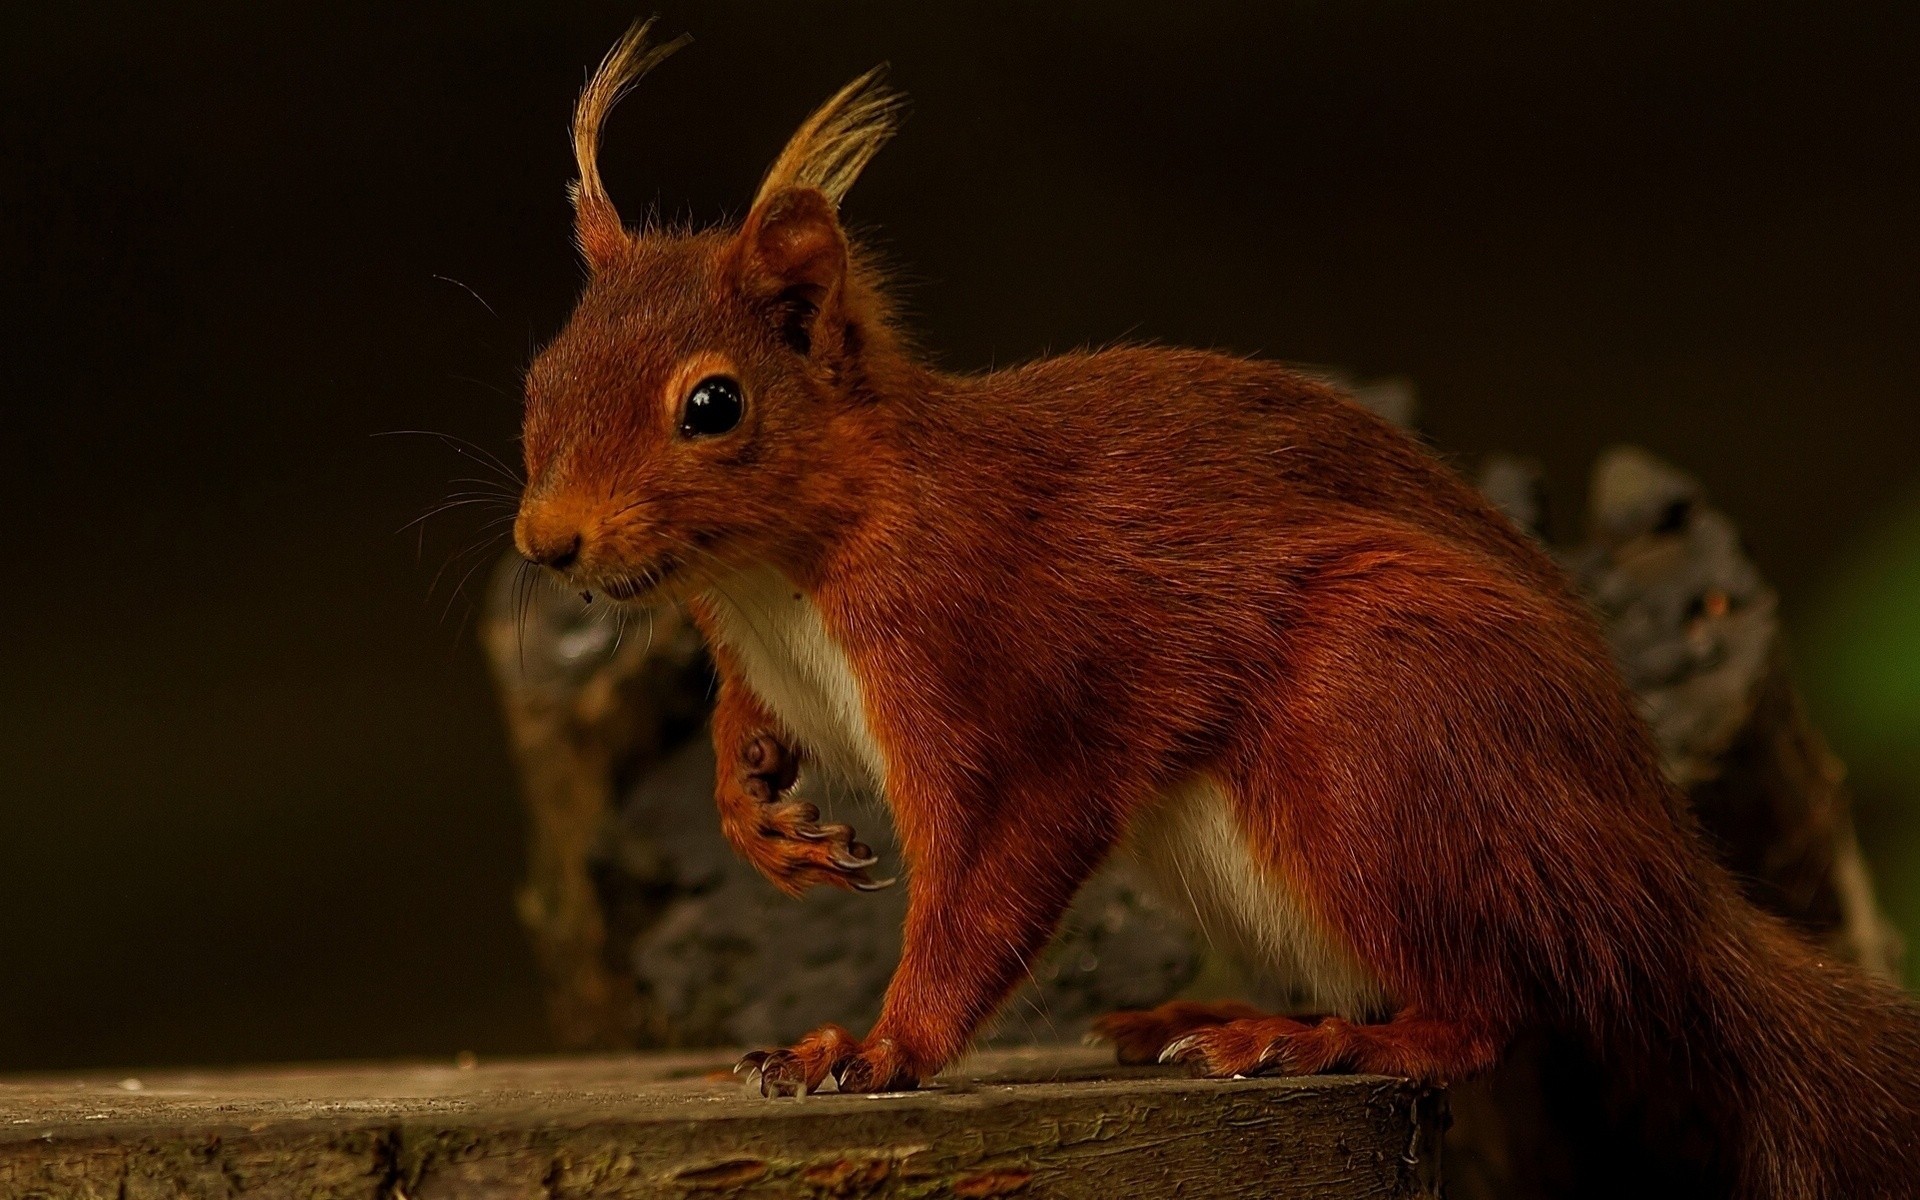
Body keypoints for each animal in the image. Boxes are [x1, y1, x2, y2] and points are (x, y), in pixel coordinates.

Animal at [510, 23, 1920, 1190]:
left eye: (713, 405)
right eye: (541, 375)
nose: (546, 540)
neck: (778, 578)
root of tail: (1664, 887)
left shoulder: (999, 668)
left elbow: (988, 882)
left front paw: (872, 1048)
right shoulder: (758, 649)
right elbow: (744, 729)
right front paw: (756, 815)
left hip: (1382, 722)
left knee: (1485, 1011)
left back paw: (1305, 1042)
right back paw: (1209, 1019)